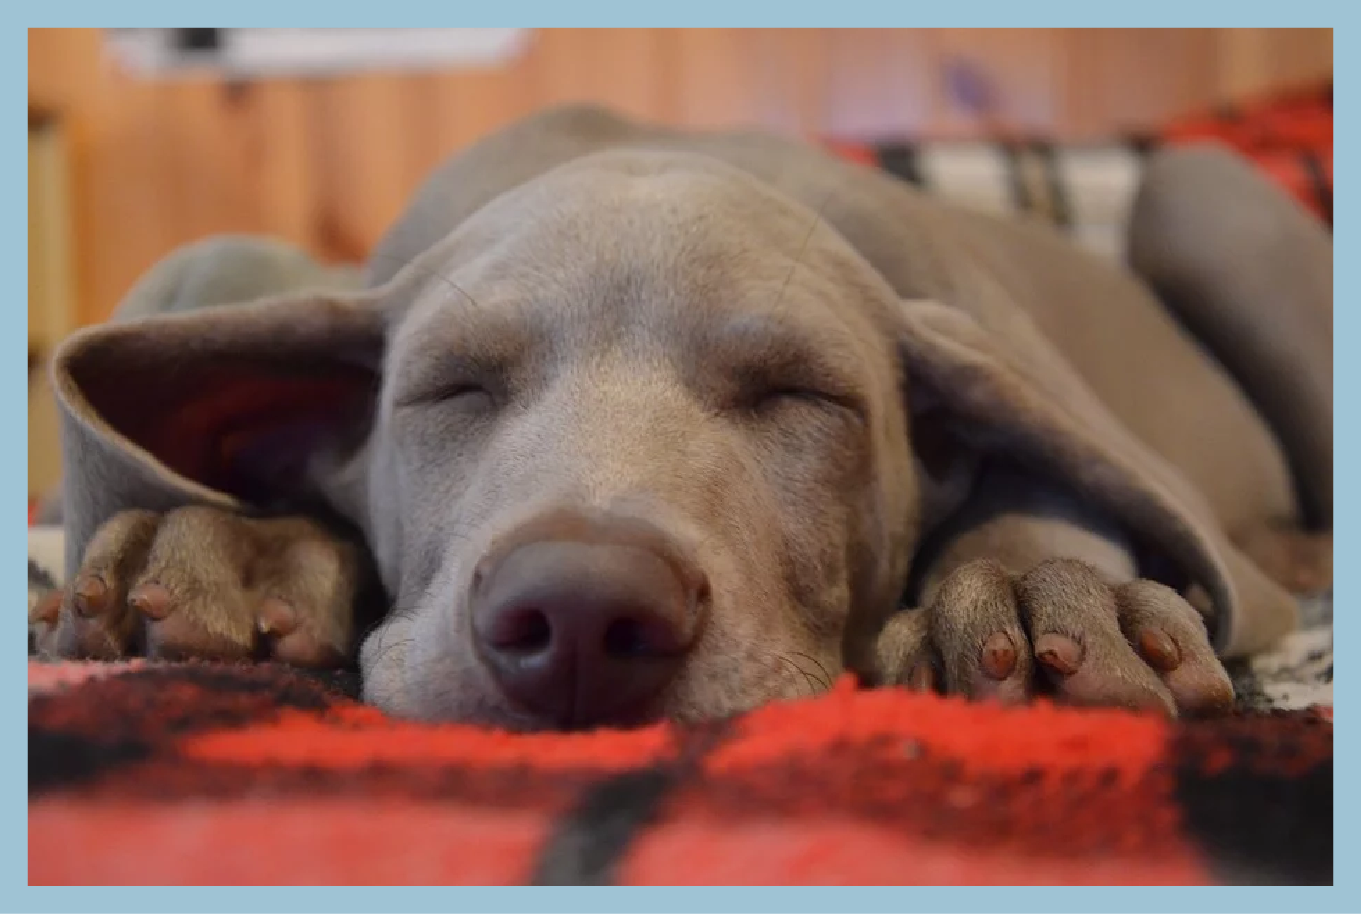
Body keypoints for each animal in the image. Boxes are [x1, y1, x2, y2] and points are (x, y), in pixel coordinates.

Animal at [35, 105, 1332, 730]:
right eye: (452, 388)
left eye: (801, 394)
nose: (576, 612)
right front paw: (236, 548)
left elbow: (1046, 476)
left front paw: (1038, 595)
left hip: (1193, 189)